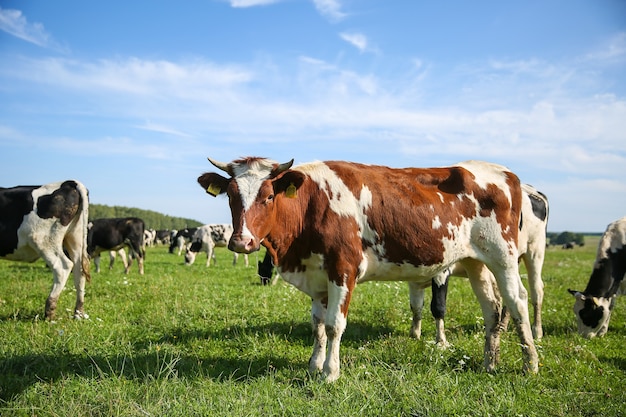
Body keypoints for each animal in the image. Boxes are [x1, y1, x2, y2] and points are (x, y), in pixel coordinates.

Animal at [0, 179, 91, 318]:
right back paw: (78, 313)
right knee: (79, 269)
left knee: (63, 266)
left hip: (43, 241)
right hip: (75, 237)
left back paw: (49, 312)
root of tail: (68, 182)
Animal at [410, 184, 544, 342]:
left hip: (534, 251)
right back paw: (503, 327)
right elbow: (416, 306)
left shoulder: (442, 272)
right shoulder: (415, 279)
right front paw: (415, 334)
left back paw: (537, 331)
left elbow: (438, 306)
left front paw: (440, 340)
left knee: (536, 291)